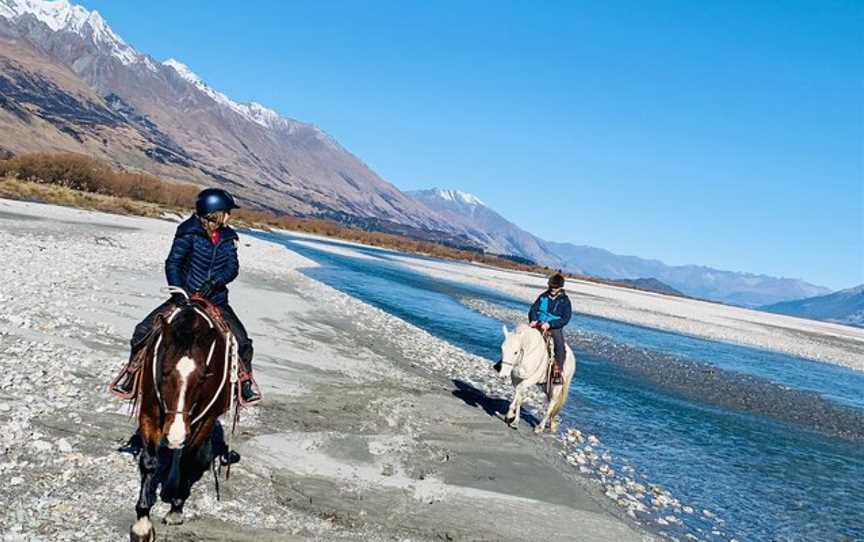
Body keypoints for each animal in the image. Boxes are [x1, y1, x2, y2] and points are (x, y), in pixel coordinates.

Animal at [129, 296, 236, 542]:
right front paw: (142, 524)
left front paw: (176, 509)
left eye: (203, 378)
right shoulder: (149, 412)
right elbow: (149, 462)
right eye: (164, 372)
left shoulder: (205, 419)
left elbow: (188, 459)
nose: (176, 434)